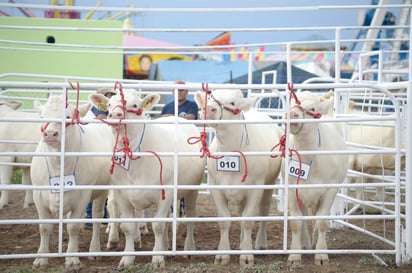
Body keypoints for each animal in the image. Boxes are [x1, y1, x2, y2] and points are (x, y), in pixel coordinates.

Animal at [30, 95, 112, 270]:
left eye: (68, 117)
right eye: (42, 117)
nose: (50, 134)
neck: (58, 164)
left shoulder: (83, 196)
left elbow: (73, 227)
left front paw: (72, 258)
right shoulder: (38, 195)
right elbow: (44, 228)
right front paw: (41, 258)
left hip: (102, 191)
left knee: (96, 216)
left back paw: (94, 250)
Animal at [90, 88, 206, 266]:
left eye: (135, 105)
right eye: (109, 104)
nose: (115, 114)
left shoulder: (165, 193)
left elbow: (157, 225)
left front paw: (157, 258)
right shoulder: (121, 194)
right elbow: (127, 227)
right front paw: (127, 258)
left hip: (192, 189)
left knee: (190, 215)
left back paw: (188, 249)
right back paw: (165, 246)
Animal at [194, 88, 284, 264]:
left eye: (233, 102)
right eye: (209, 97)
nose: (209, 109)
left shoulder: (256, 187)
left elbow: (248, 221)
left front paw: (247, 256)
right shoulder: (215, 187)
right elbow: (224, 220)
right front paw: (222, 254)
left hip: (270, 182)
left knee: (263, 211)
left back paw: (260, 244)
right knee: (241, 212)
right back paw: (242, 242)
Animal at [282, 90, 350, 264]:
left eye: (312, 108)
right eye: (290, 104)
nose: (293, 114)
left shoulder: (330, 190)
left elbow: (322, 221)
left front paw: (321, 254)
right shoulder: (292, 190)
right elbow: (296, 222)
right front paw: (295, 254)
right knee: (305, 217)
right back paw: (305, 243)